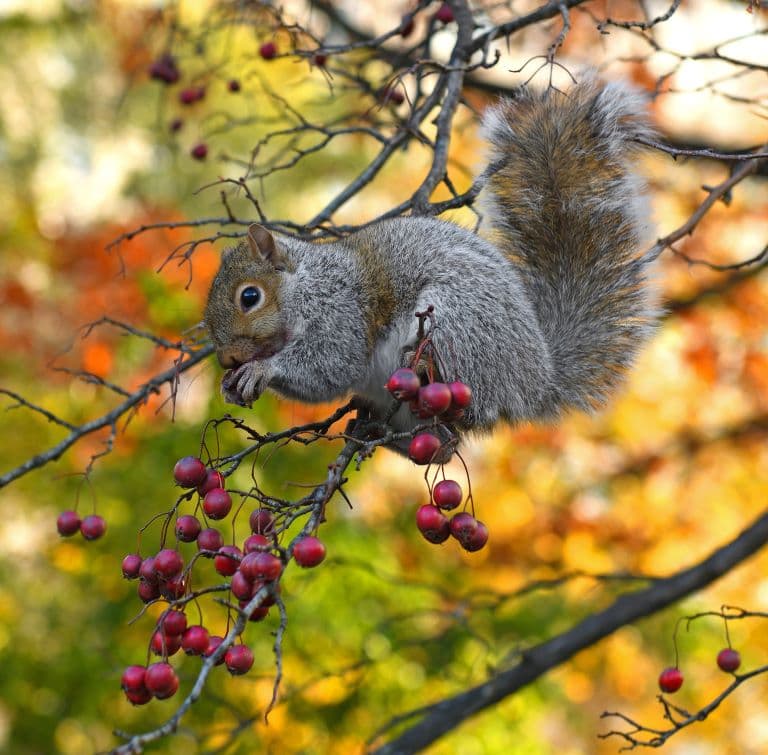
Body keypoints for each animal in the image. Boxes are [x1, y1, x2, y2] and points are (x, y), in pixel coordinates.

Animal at [204, 76, 658, 450]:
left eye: (250, 297)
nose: (227, 360)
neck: (307, 284)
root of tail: (536, 381)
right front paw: (232, 385)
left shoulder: (342, 309)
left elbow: (329, 364)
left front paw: (262, 370)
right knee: (443, 447)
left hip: (457, 323)